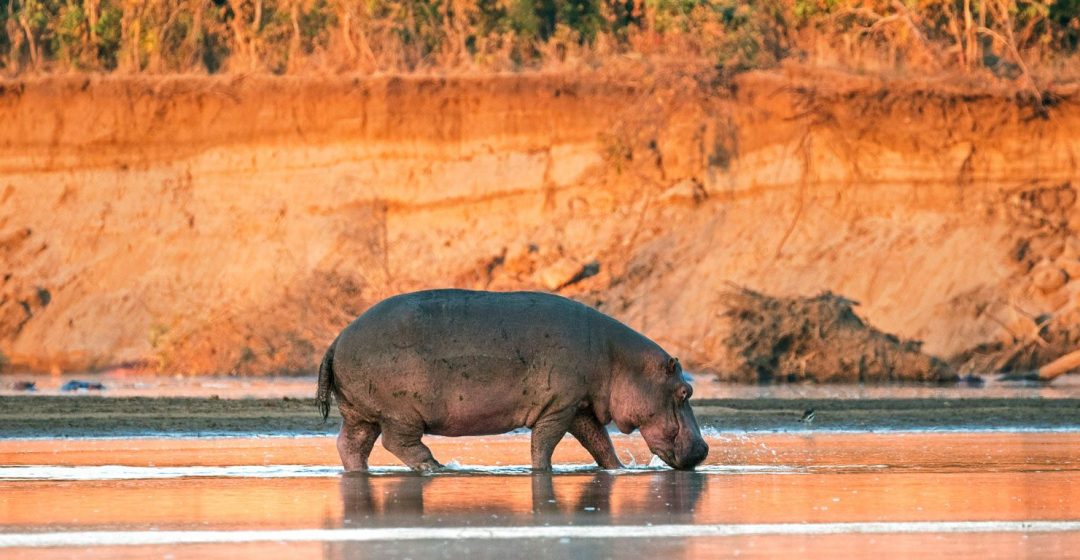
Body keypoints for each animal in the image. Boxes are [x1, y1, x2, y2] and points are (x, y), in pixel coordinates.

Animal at [317, 291, 708, 470]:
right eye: (685, 391)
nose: (704, 449)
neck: (619, 360)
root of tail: (337, 339)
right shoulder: (559, 407)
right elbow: (544, 443)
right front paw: (542, 471)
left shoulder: (579, 406)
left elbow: (599, 443)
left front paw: (619, 470)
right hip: (399, 412)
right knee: (398, 443)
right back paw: (436, 467)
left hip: (359, 412)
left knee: (351, 445)